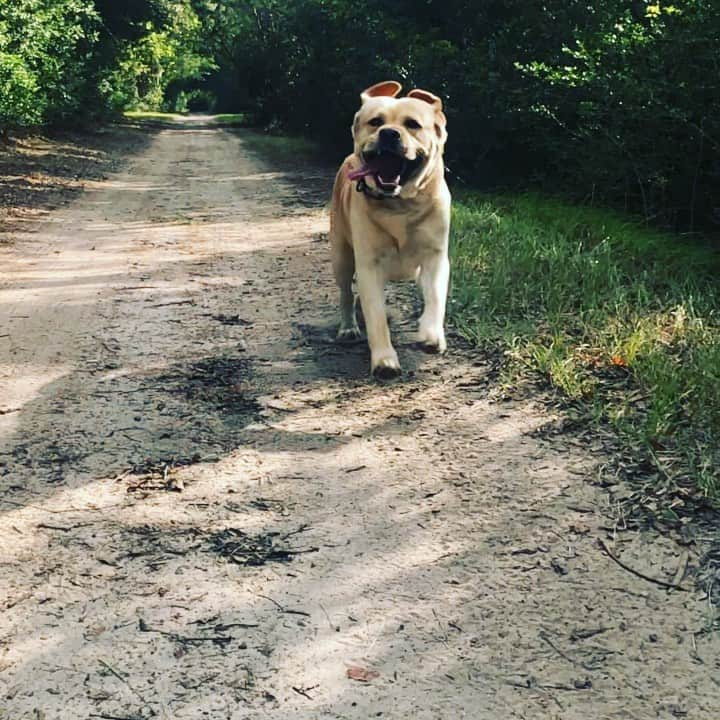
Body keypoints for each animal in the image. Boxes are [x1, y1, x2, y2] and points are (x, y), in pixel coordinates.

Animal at [328, 80, 450, 376]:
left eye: (413, 124)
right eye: (375, 122)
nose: (389, 133)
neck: (400, 206)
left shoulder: (436, 257)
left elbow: (435, 297)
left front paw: (431, 334)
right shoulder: (369, 265)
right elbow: (376, 316)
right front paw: (384, 359)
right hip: (341, 256)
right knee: (346, 294)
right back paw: (348, 327)